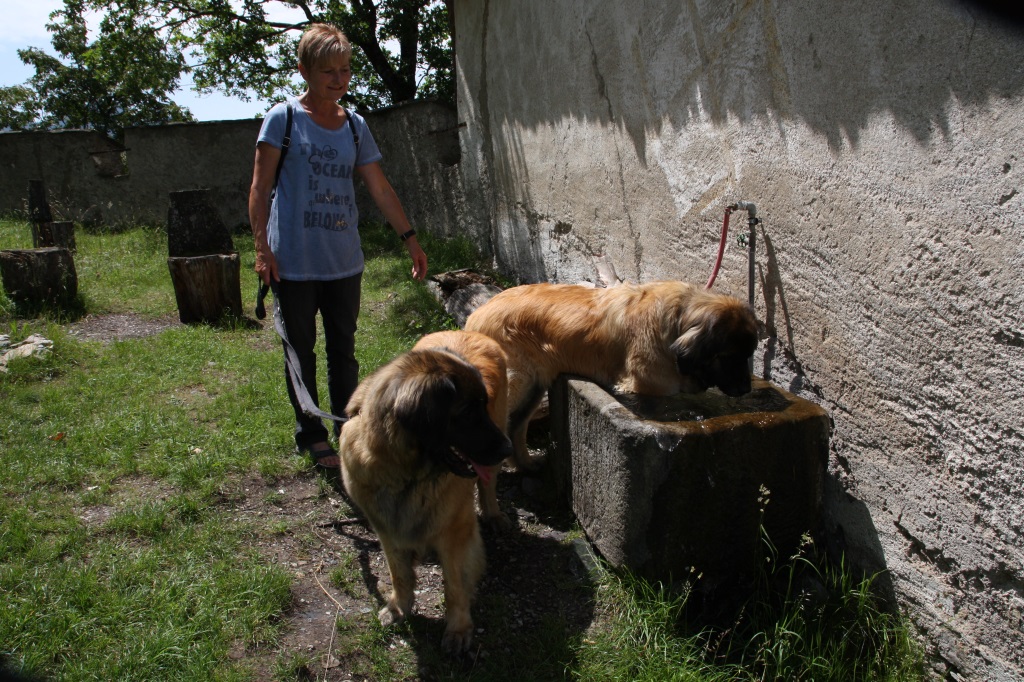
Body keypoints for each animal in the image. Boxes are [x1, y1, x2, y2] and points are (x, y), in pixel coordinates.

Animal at [335, 331, 512, 651]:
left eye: (484, 405)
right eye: (467, 412)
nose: (509, 448)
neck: (406, 475)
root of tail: (469, 331)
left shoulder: (456, 531)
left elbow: (455, 584)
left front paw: (458, 629)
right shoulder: (387, 527)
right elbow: (400, 574)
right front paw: (399, 608)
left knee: (488, 486)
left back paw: (493, 515)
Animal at [464, 278, 761, 464]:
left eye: (749, 355)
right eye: (730, 357)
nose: (746, 389)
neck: (677, 321)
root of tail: (475, 314)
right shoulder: (650, 387)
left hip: (534, 386)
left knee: (515, 426)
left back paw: (526, 465)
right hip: (519, 381)